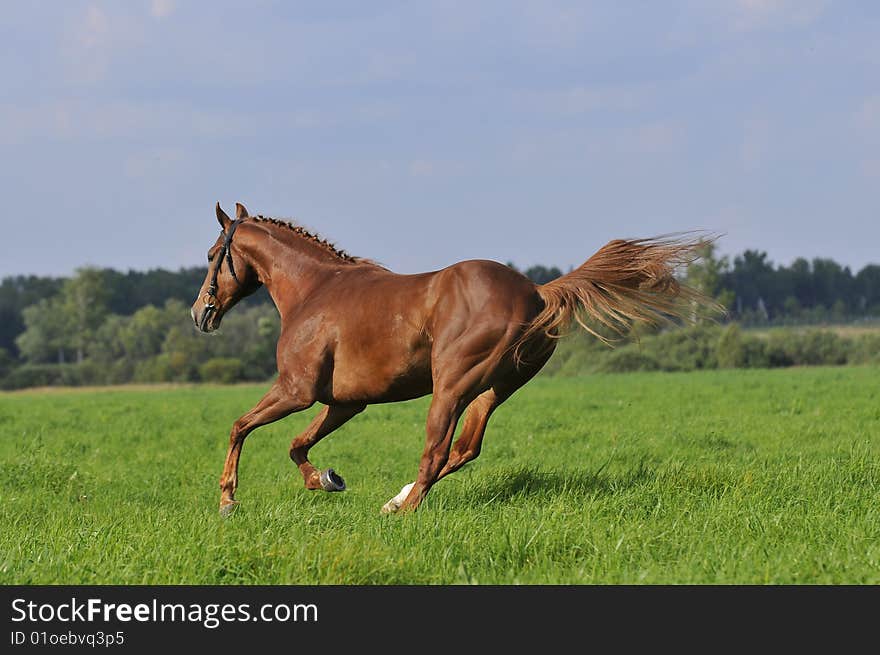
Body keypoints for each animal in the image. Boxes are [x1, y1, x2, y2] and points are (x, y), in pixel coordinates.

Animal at [191, 202, 716, 516]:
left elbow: (240, 427)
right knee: (465, 448)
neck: (314, 290)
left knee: (437, 452)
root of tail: (536, 292)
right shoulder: (345, 402)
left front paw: (228, 500)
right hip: (495, 388)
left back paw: (403, 512)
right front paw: (327, 479)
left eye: (215, 253)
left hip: (451, 386)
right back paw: (396, 500)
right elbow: (297, 445)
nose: (201, 313)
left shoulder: (296, 391)